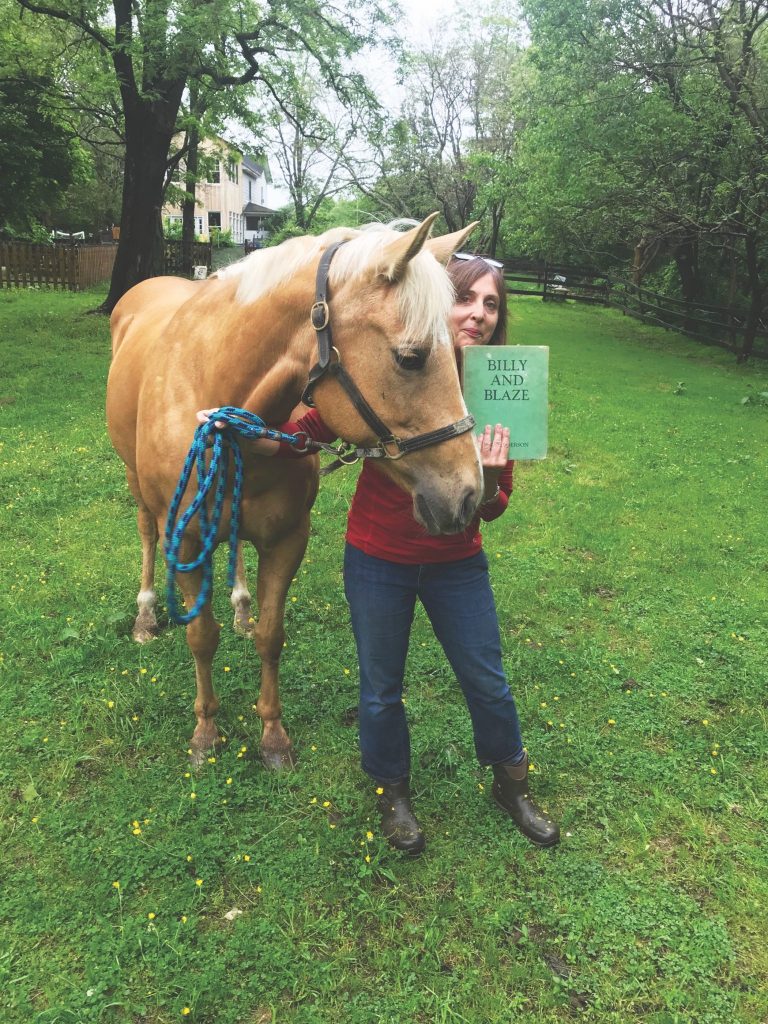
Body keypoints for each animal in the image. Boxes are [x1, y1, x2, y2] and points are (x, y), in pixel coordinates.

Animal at [106, 214, 483, 768]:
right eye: (410, 358)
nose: (468, 495)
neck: (212, 389)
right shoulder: (187, 540)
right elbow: (201, 635)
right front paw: (205, 732)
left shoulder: (287, 539)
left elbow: (270, 635)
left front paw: (273, 736)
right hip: (139, 491)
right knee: (146, 535)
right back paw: (147, 614)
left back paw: (240, 605)